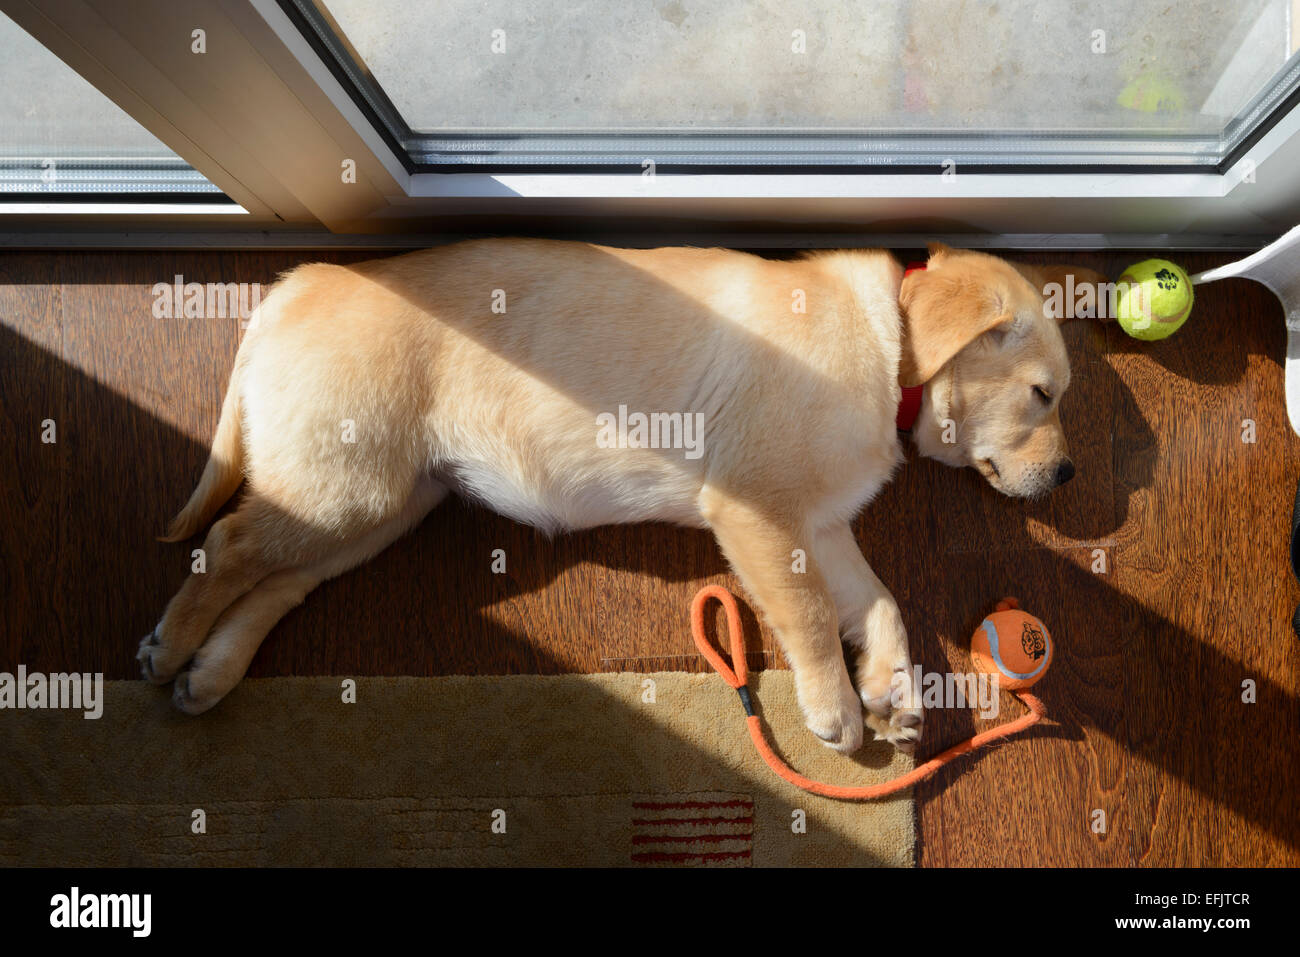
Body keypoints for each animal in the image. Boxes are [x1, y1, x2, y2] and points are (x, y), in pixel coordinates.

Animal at [139, 239, 1097, 754]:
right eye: (1043, 395)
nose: (1069, 478)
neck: (891, 344)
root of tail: (299, 279)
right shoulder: (757, 511)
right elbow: (812, 615)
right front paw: (835, 706)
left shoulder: (820, 525)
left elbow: (883, 602)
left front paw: (893, 690)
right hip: (347, 485)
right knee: (227, 547)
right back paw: (168, 648)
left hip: (380, 503)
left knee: (276, 580)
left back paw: (209, 672)